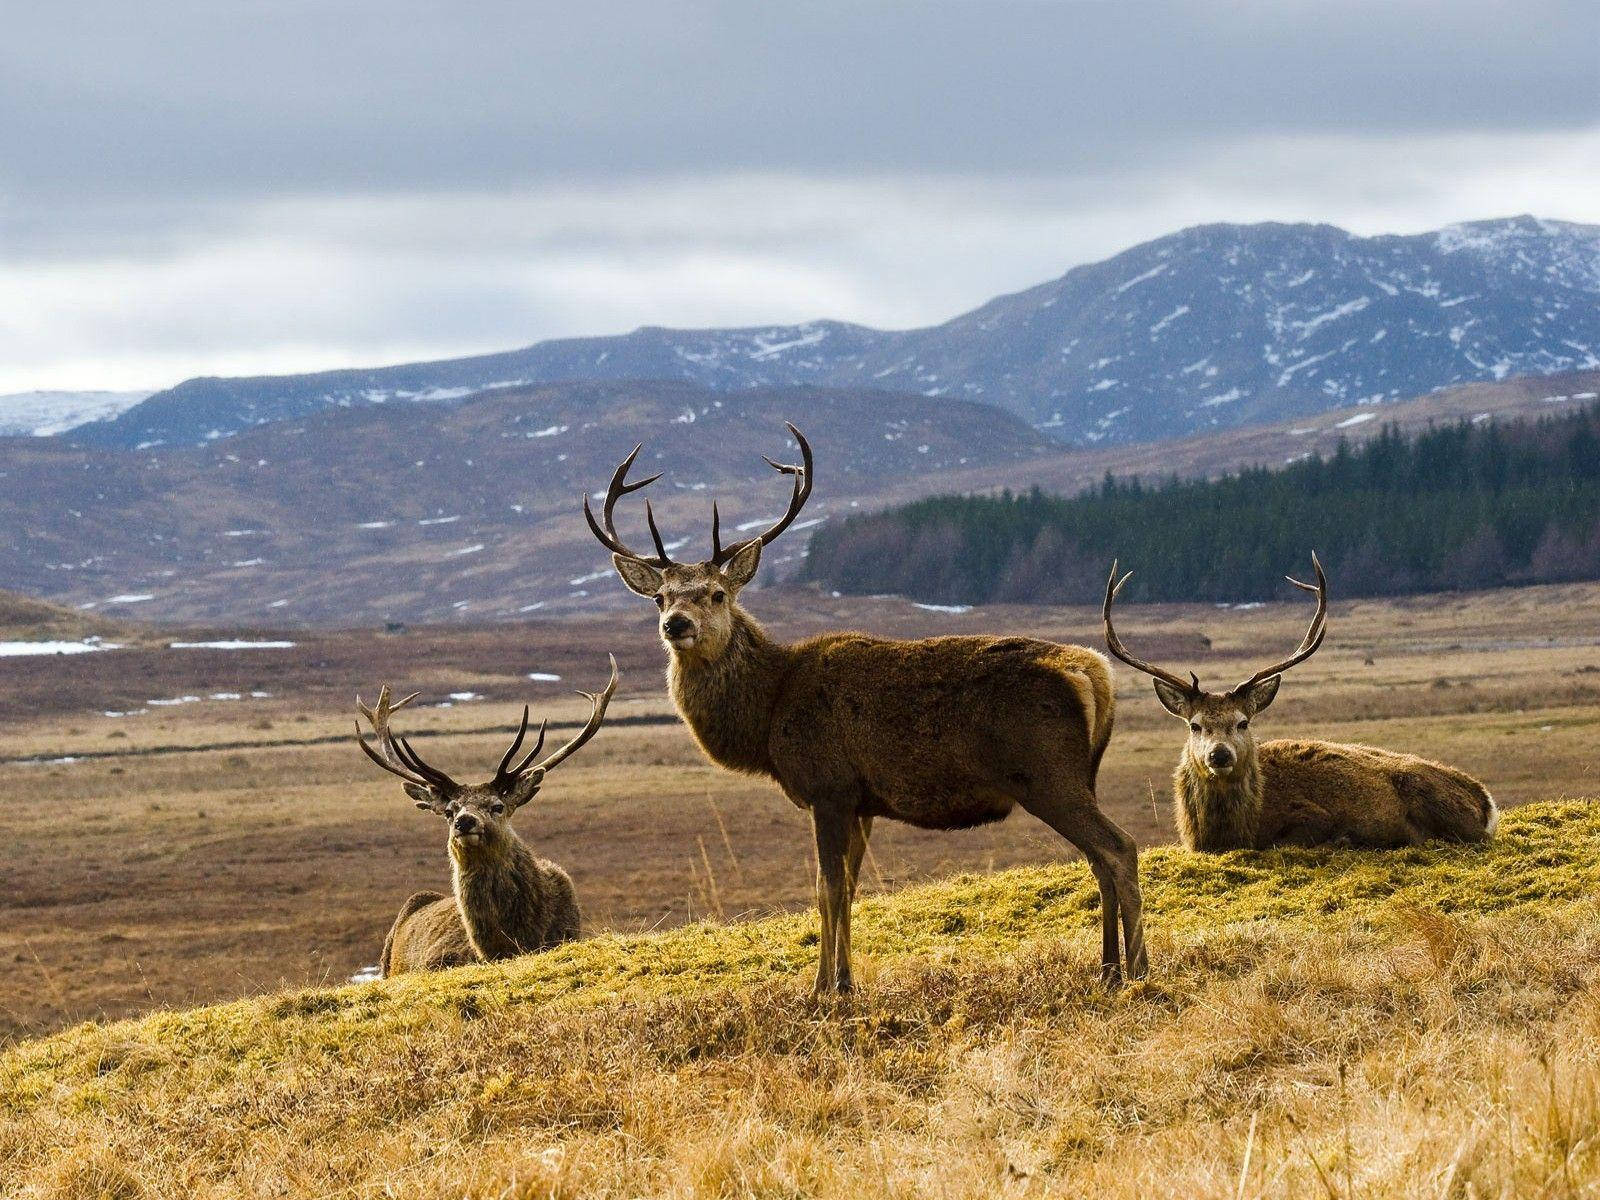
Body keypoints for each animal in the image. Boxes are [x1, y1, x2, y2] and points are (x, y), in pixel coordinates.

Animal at [582, 428, 1145, 992]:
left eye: (717, 594)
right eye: (659, 597)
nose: (676, 624)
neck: (769, 715)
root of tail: (1092, 671)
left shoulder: (827, 786)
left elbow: (827, 890)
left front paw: (822, 991)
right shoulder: (861, 800)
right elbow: (847, 889)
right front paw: (843, 981)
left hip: (1045, 773)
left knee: (1119, 847)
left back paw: (1138, 970)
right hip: (1082, 776)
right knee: (1099, 859)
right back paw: (1108, 969)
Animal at [1107, 556, 1491, 857]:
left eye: (1243, 722)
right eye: (1195, 725)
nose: (1219, 754)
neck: (1232, 831)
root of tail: (1485, 802)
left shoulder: (1310, 816)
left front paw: (1342, 840)